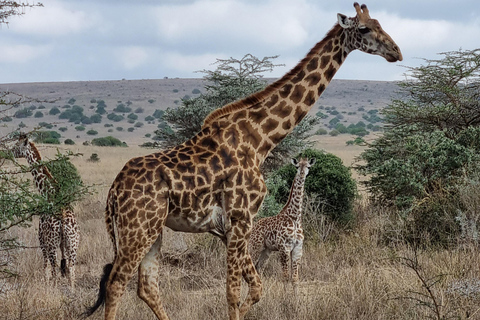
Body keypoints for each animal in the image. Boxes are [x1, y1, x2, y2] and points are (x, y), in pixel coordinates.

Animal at [11, 134, 79, 288]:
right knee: (71, 271)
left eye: (16, 146)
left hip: (52, 245)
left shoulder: (42, 240)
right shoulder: (62, 245)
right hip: (73, 245)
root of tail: (64, 221)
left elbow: (46, 268)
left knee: (54, 269)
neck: (48, 194)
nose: (9, 152)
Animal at [248, 156, 316, 294]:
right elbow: (285, 276)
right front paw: (285, 298)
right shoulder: (284, 248)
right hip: (255, 246)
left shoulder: (297, 248)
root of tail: (254, 227)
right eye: (297, 166)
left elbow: (294, 278)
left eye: (308, 166)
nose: (302, 174)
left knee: (258, 269)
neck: (295, 218)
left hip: (266, 250)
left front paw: (295, 298)